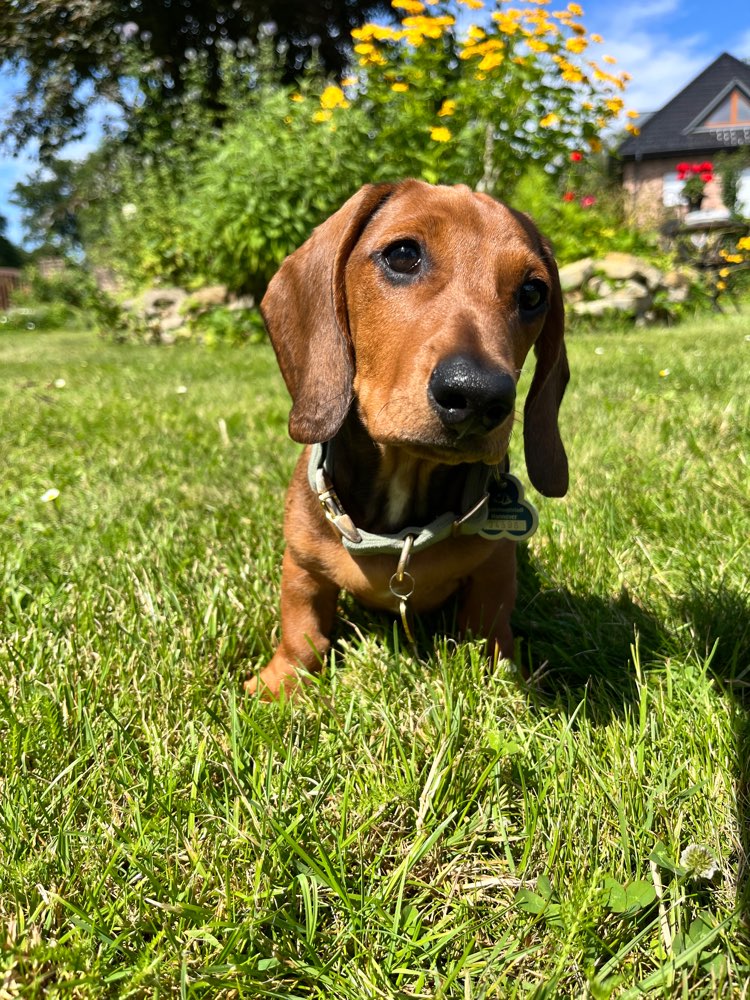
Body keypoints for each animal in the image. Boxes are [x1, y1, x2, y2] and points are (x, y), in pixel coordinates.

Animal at [247, 180, 568, 696]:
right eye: (402, 255)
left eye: (533, 292)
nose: (478, 395)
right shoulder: (301, 565)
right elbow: (302, 630)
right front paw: (280, 683)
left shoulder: (495, 567)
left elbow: (491, 632)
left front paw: (506, 682)